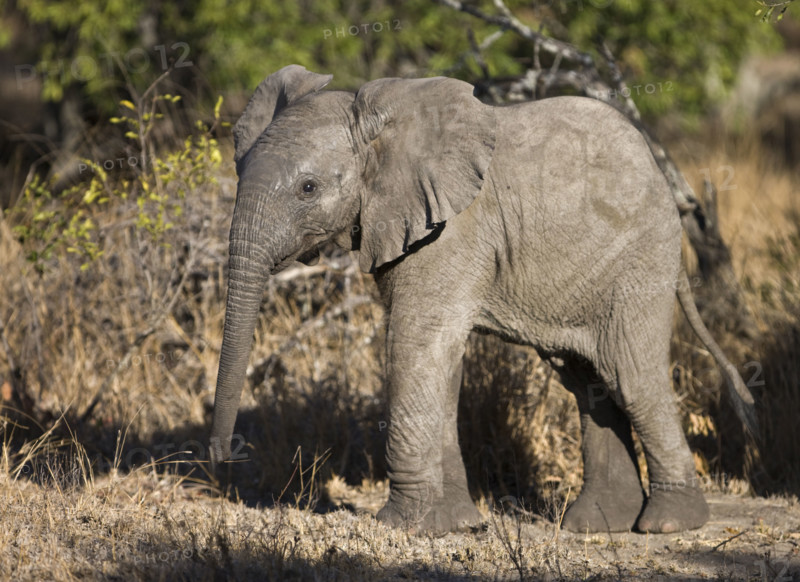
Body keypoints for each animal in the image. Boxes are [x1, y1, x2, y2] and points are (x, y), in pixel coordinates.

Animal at [209, 64, 757, 534]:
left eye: (308, 188)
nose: (226, 456)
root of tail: (666, 185)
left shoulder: (451, 231)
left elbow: (414, 343)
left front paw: (404, 526)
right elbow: (442, 357)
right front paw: (455, 523)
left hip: (639, 257)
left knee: (630, 372)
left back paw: (669, 523)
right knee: (587, 379)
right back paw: (597, 524)